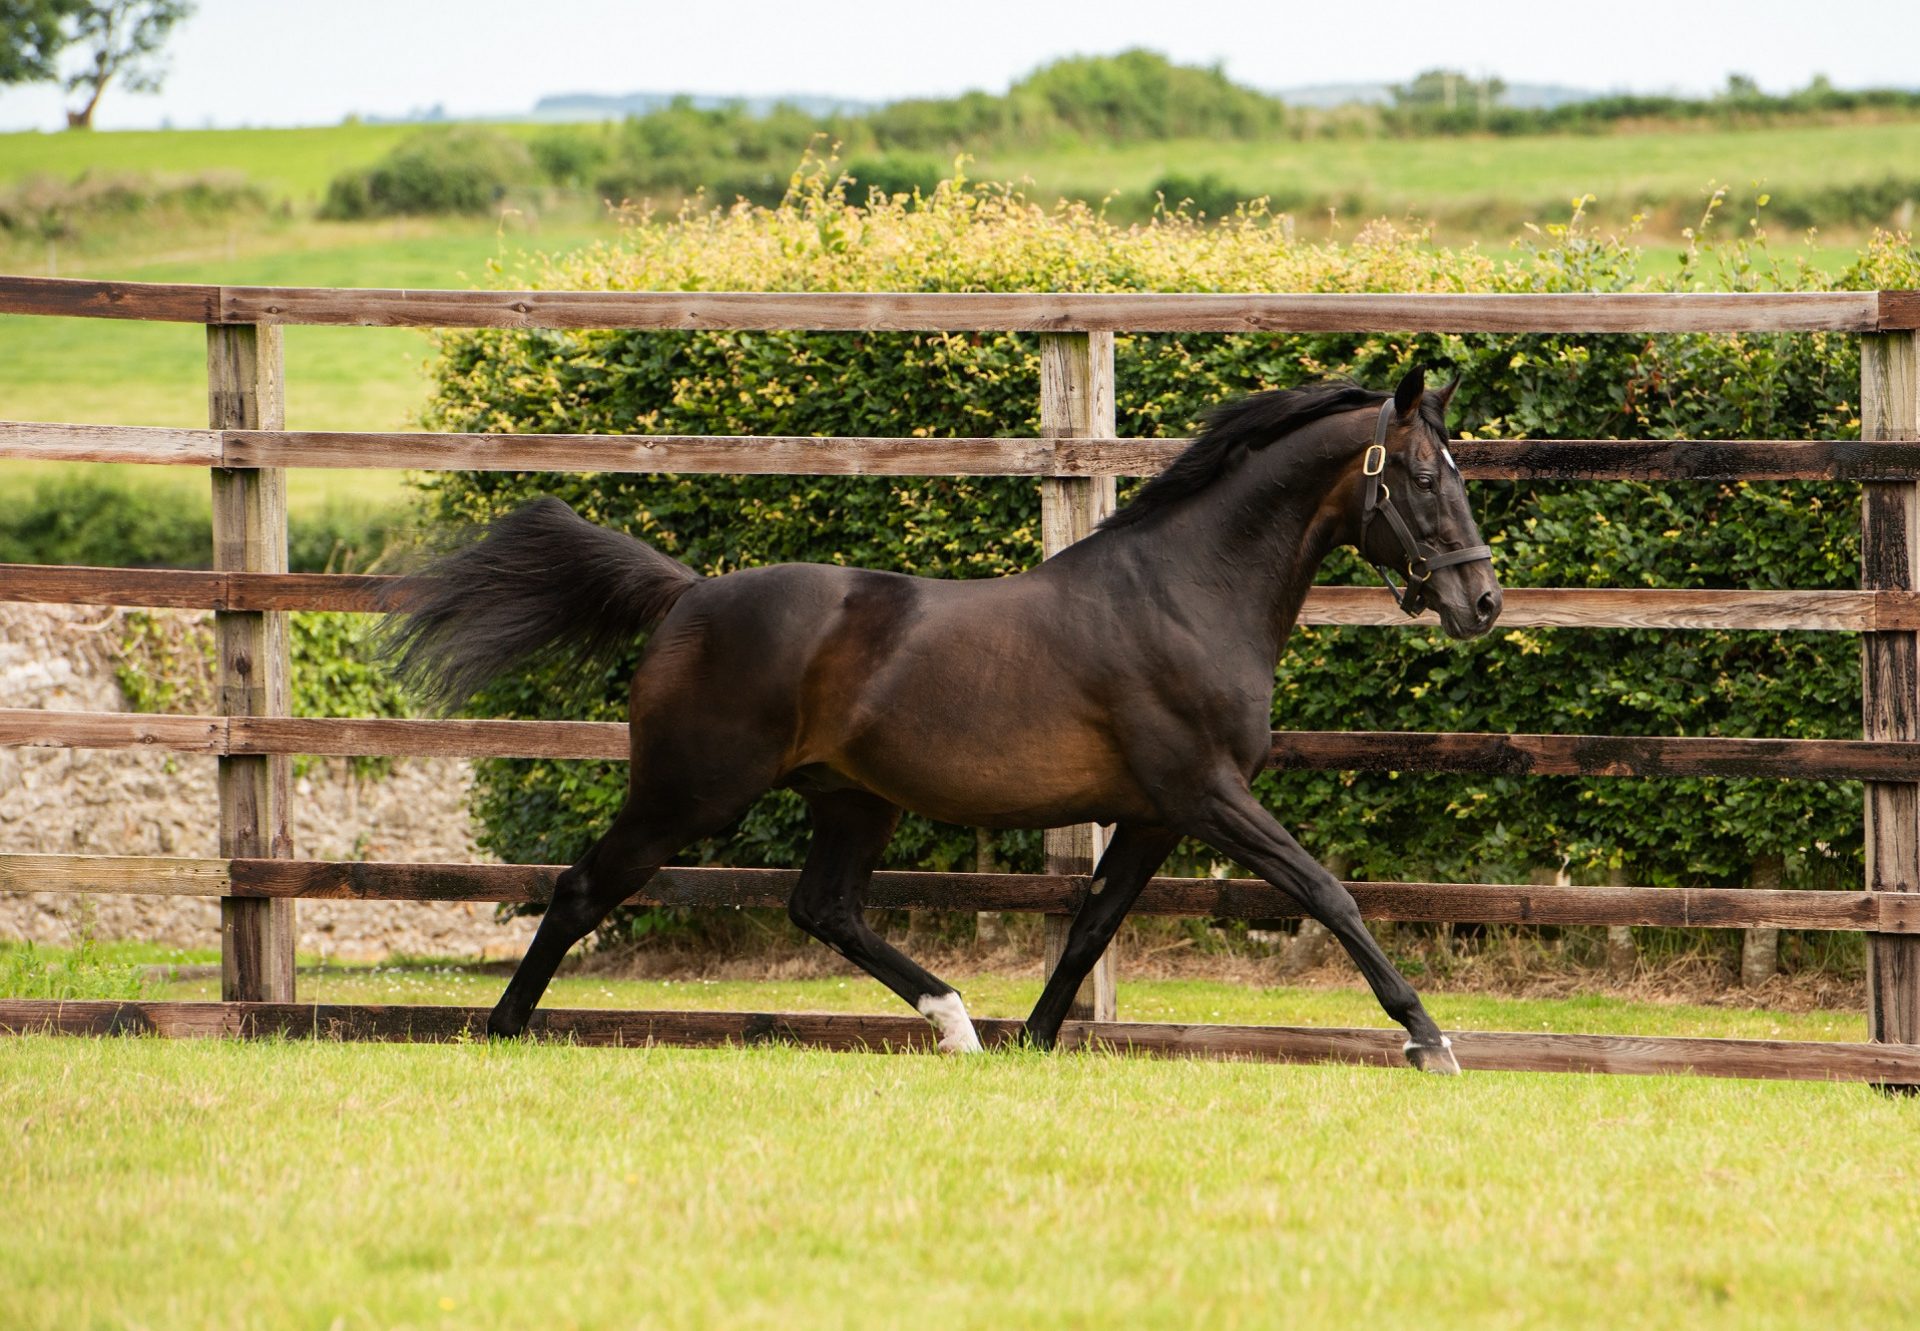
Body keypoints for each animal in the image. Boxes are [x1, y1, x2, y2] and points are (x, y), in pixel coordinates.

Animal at [385, 363, 1497, 1067]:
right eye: (1424, 477)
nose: (1481, 601)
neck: (1185, 593)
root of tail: (688, 596)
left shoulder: (1154, 812)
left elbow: (1091, 927)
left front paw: (1035, 1044)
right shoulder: (1206, 792)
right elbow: (1328, 891)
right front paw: (1430, 1038)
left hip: (851, 798)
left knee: (824, 908)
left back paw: (958, 1023)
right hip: (687, 793)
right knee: (582, 887)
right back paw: (500, 1032)